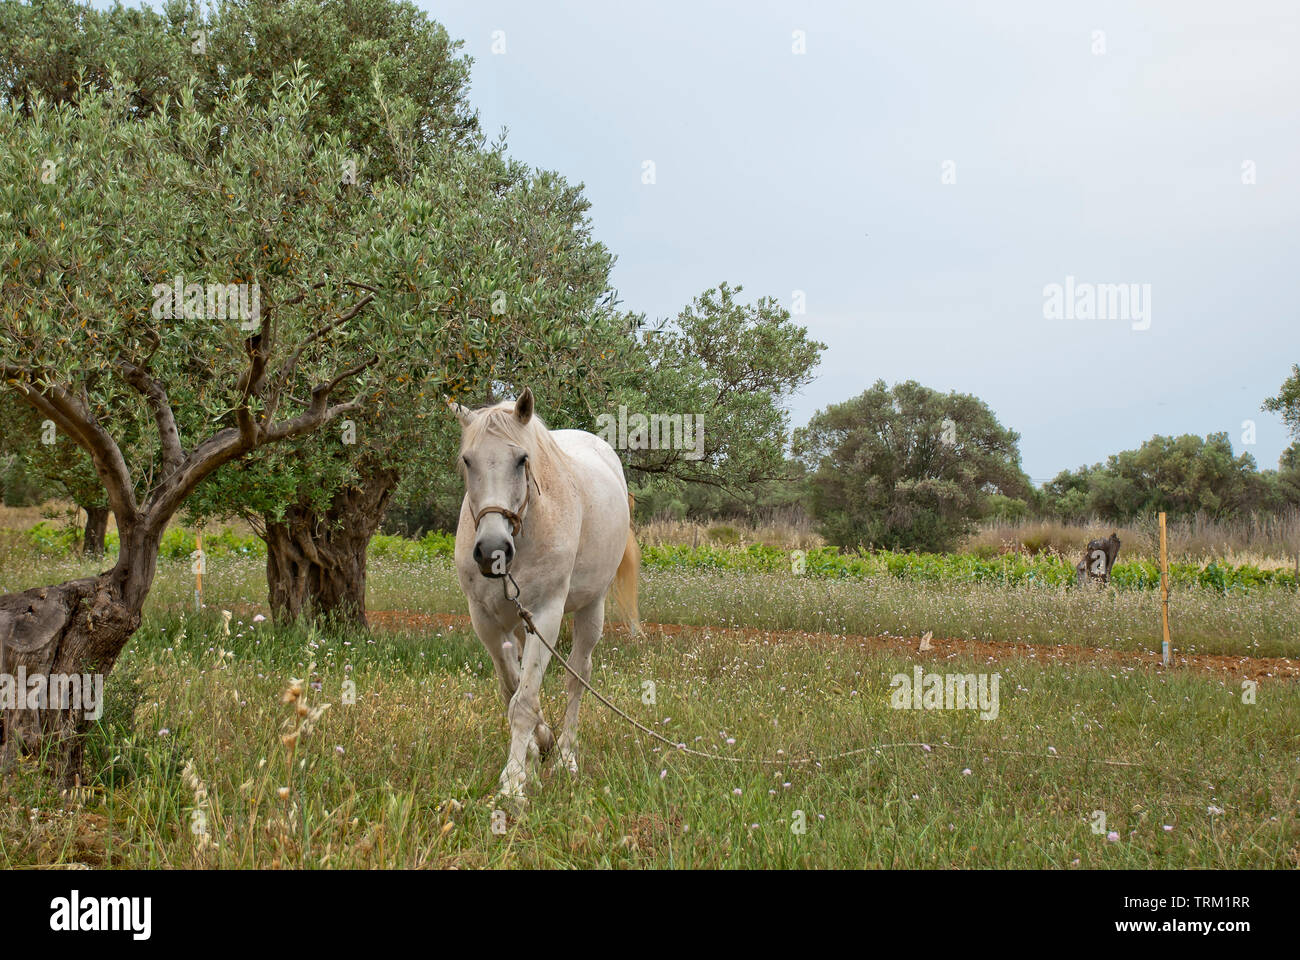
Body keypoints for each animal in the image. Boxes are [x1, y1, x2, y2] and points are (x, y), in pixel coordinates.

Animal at [452, 387, 639, 801]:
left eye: (522, 459)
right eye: (468, 461)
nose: (492, 551)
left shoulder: (547, 614)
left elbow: (523, 702)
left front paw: (513, 782)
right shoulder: (487, 621)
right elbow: (513, 691)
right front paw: (536, 749)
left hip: (591, 608)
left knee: (578, 677)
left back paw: (567, 756)